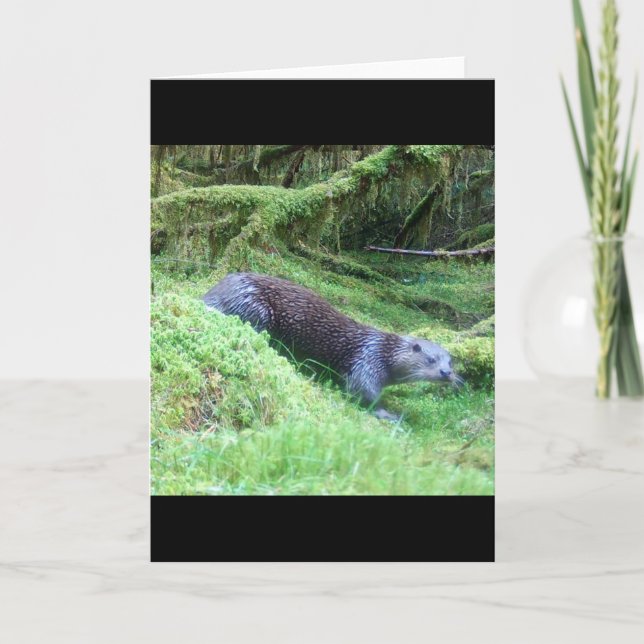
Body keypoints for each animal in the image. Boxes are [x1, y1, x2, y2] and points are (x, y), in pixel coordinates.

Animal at [202, 273, 461, 420]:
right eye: (430, 360)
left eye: (451, 362)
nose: (446, 373)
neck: (384, 352)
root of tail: (213, 294)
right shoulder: (367, 363)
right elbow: (363, 392)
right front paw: (389, 414)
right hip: (255, 308)